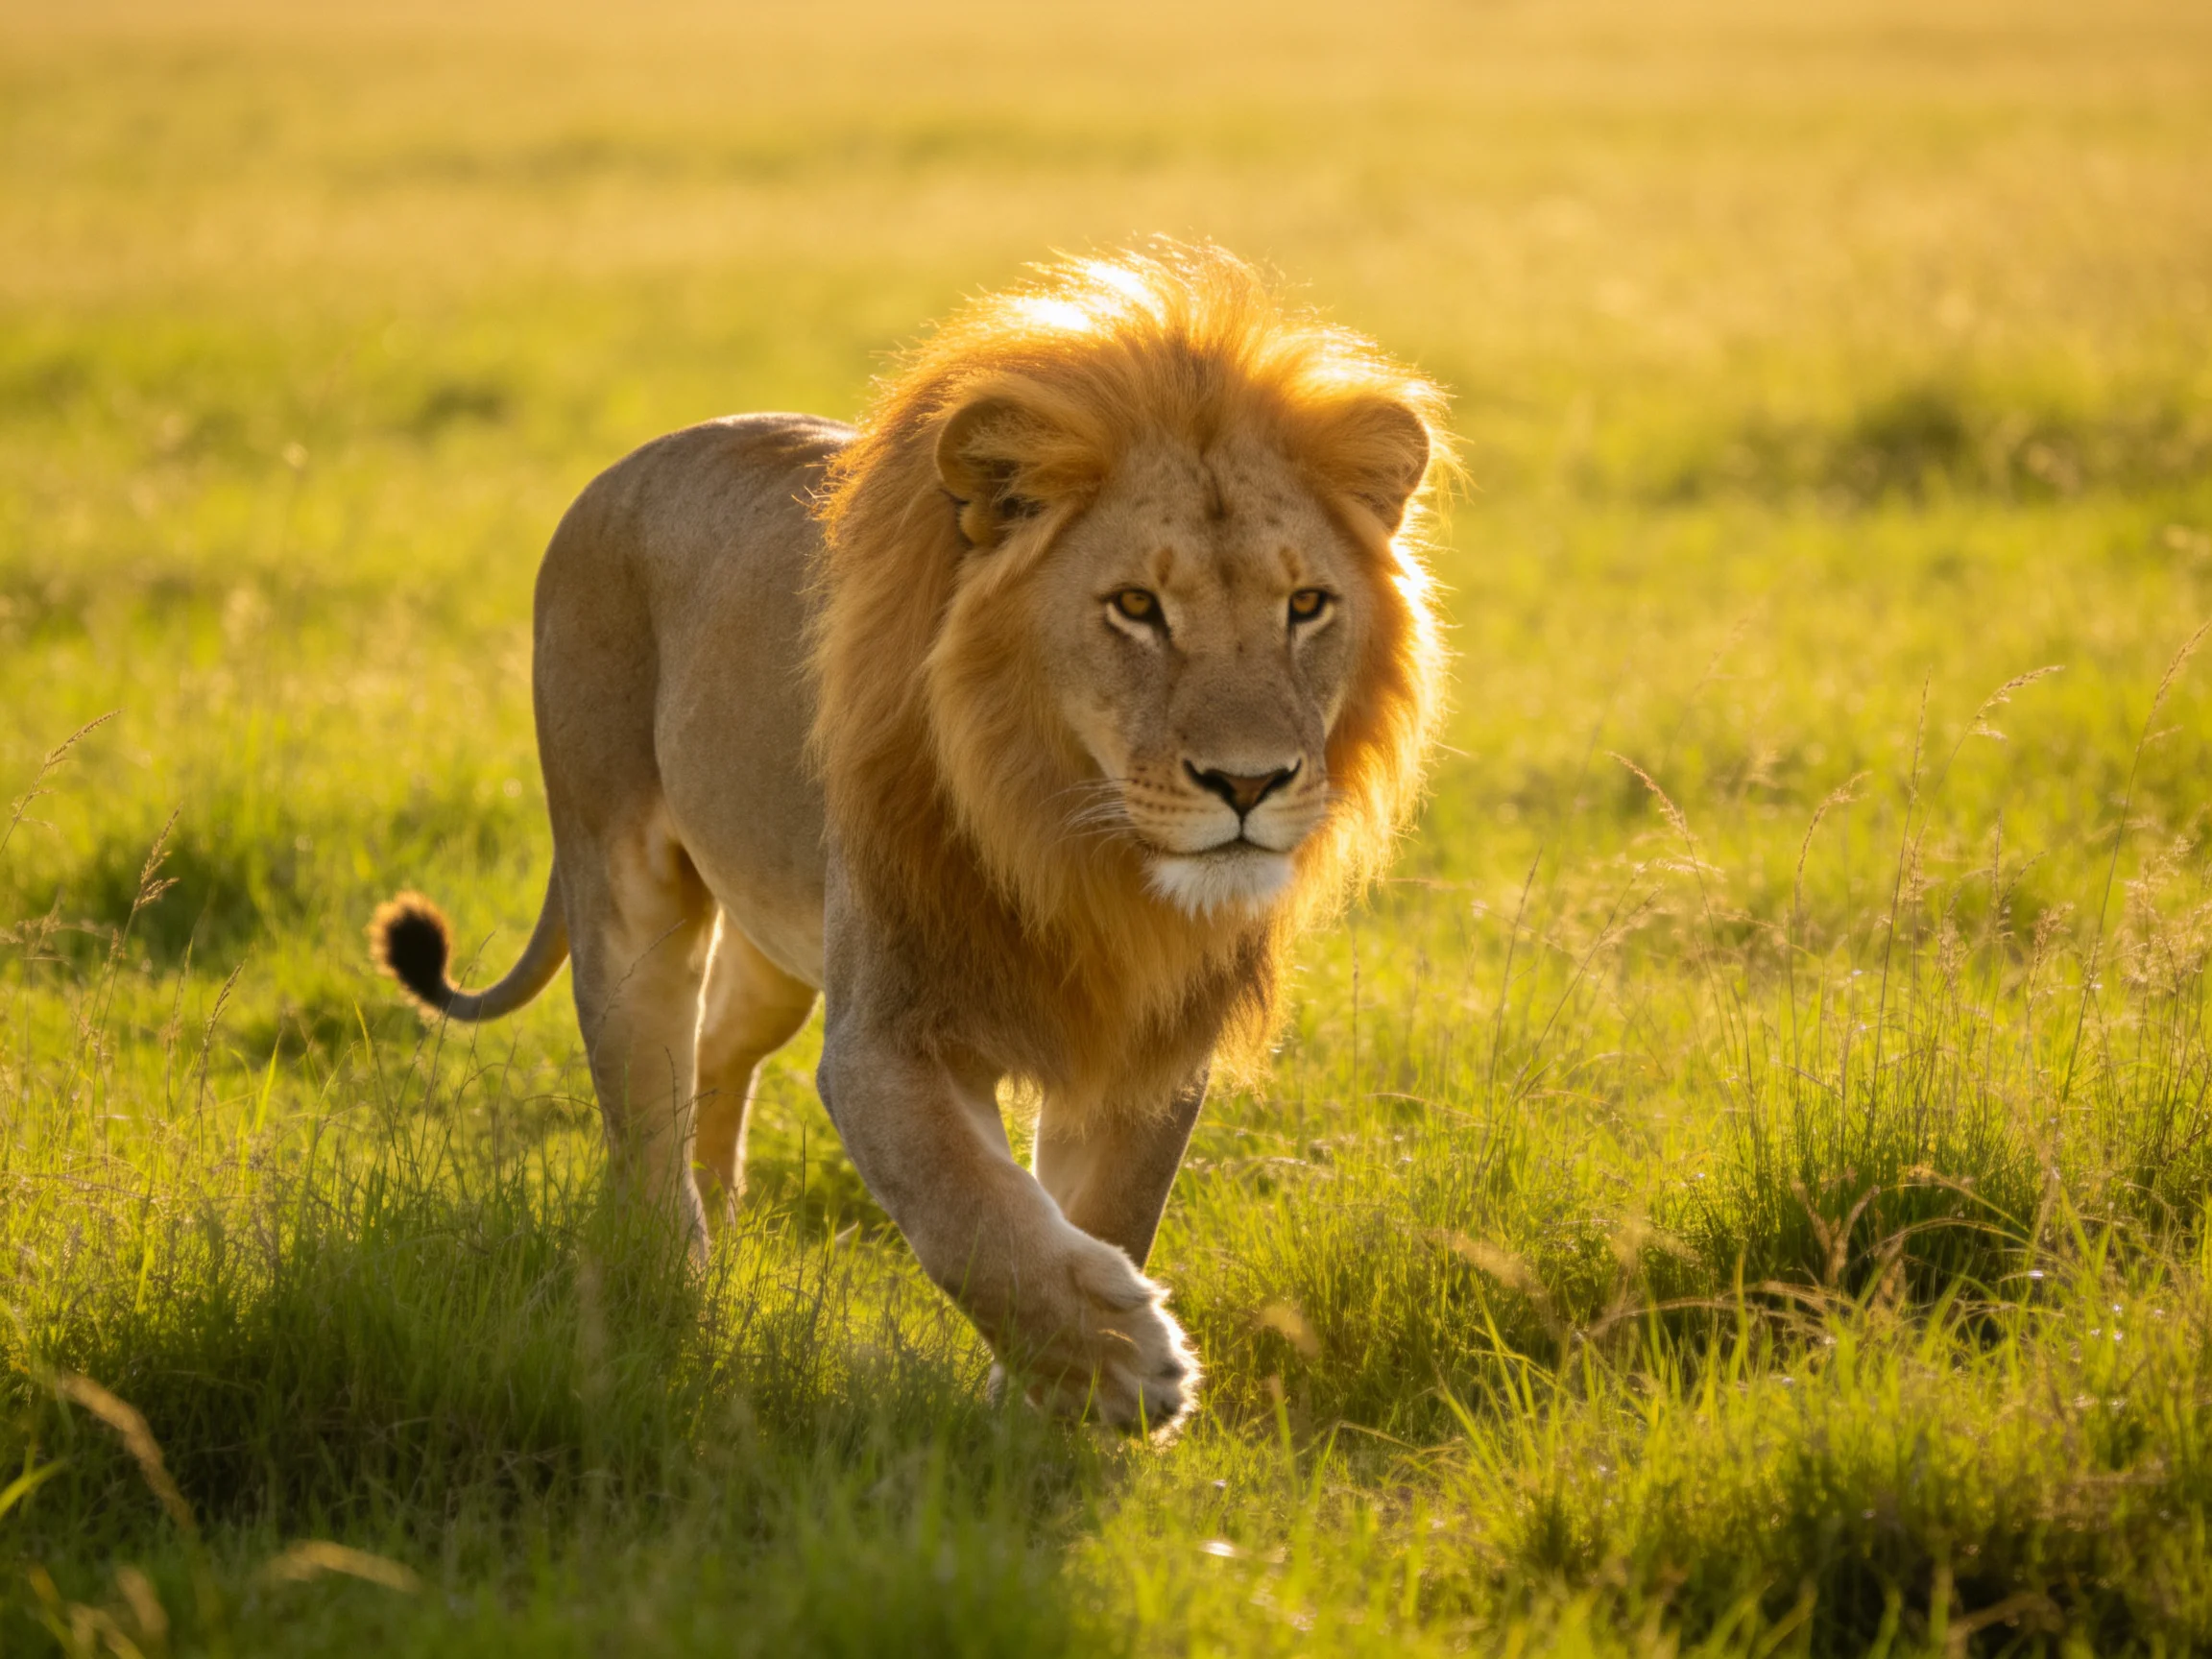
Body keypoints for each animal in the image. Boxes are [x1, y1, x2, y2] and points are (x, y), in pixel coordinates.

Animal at [369, 242, 1448, 1431]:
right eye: (1134, 607)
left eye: (1307, 605)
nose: (1249, 783)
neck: (1077, 845)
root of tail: (627, 464)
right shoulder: (887, 1031)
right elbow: (967, 1205)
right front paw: (1121, 1363)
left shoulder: (1144, 1042)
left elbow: (1107, 1207)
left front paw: (1049, 1411)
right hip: (621, 878)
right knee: (644, 1100)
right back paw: (674, 1279)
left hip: (779, 938)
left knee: (715, 1052)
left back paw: (724, 1217)